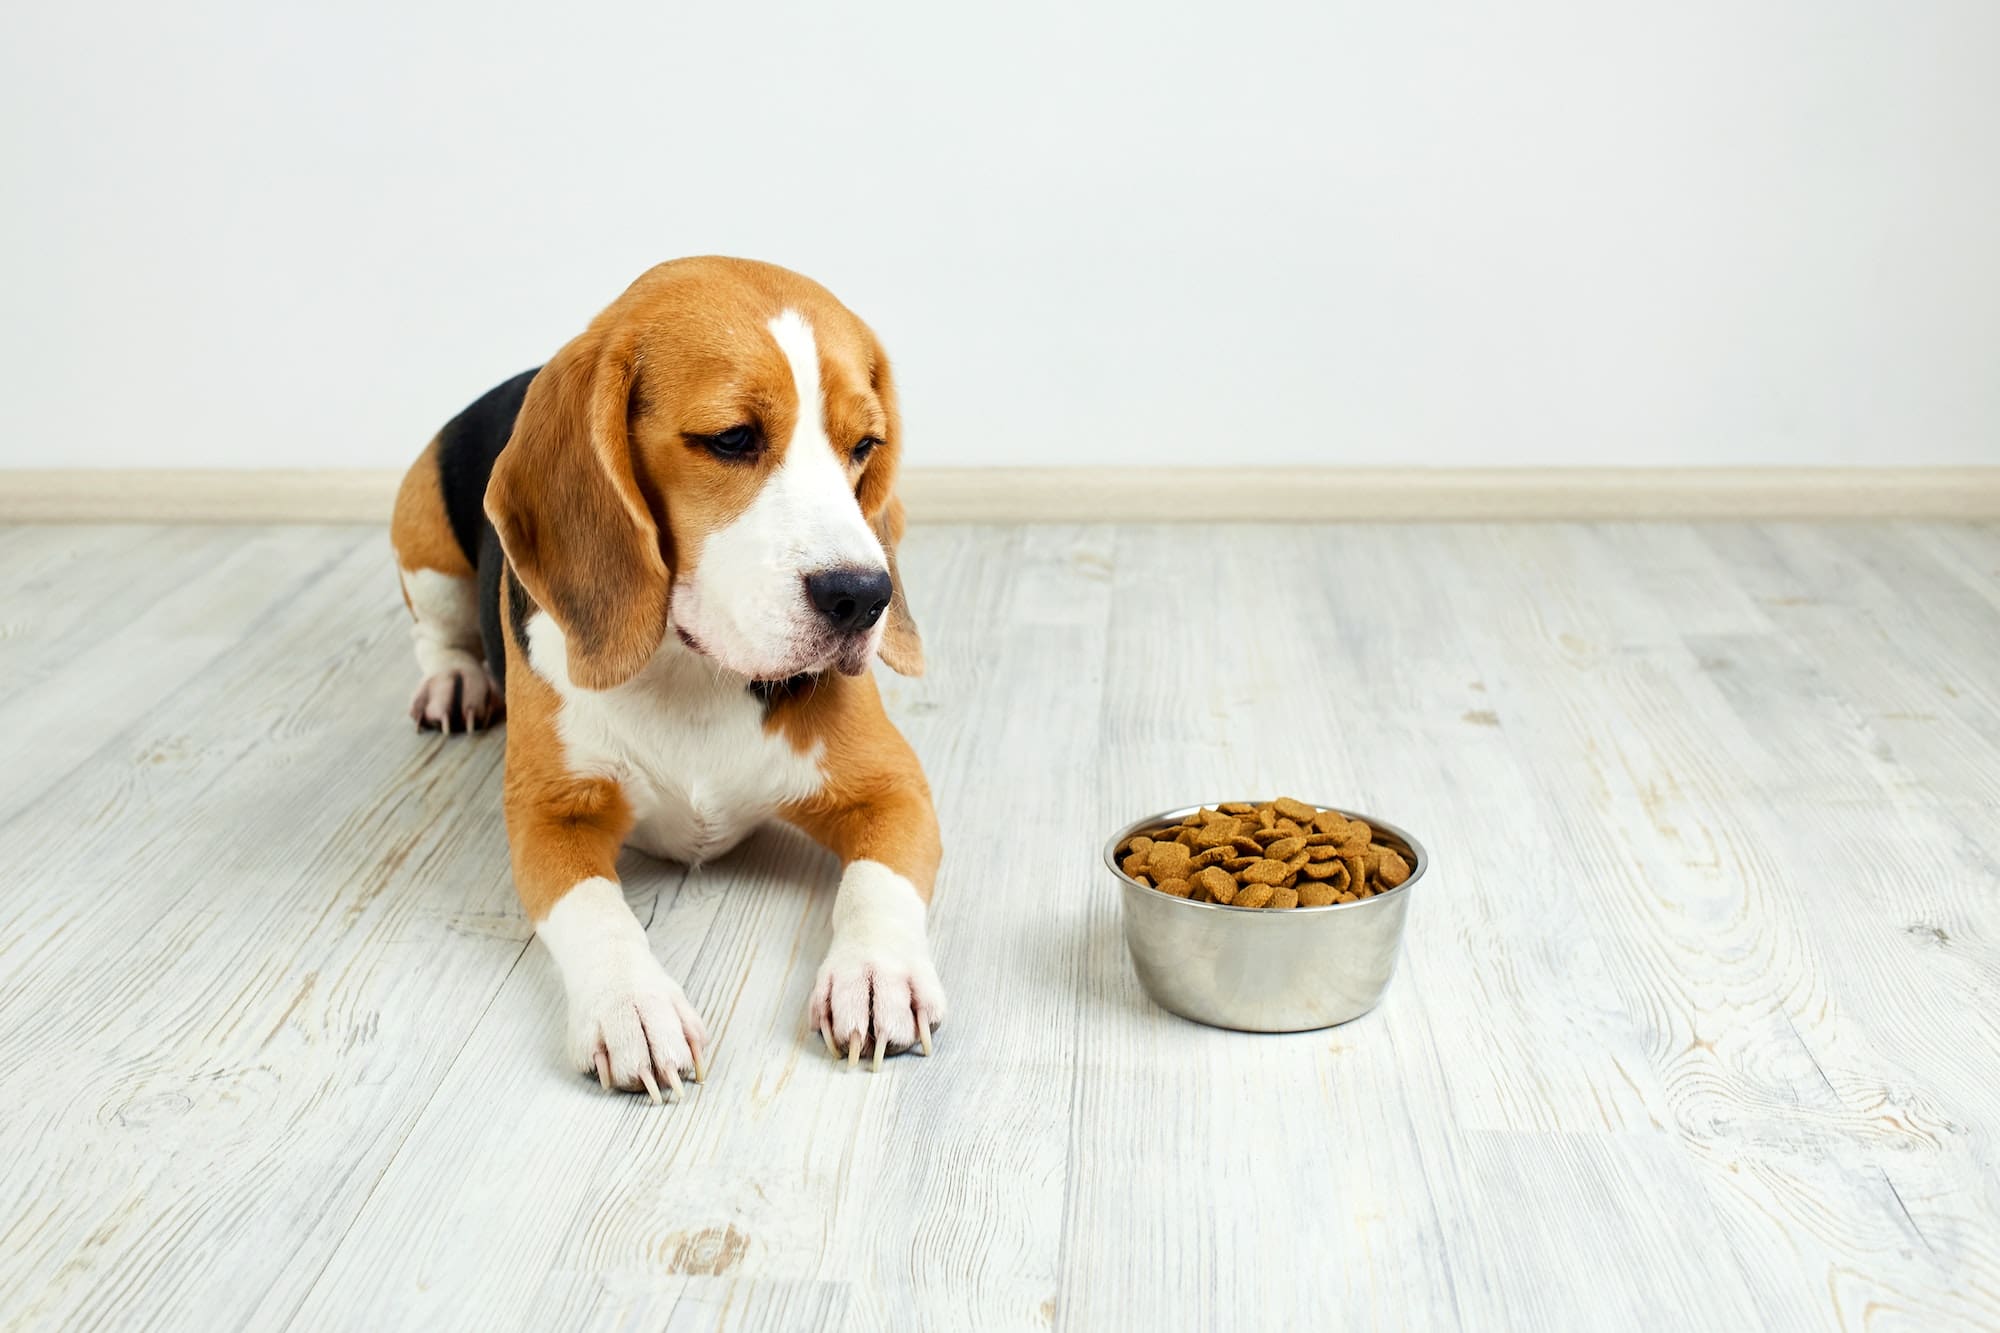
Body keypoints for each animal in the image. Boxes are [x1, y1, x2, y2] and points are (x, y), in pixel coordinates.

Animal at [400, 254, 952, 1096]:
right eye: (731, 438)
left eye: (865, 444)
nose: (863, 596)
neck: (694, 666)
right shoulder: (549, 814)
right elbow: (595, 911)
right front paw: (632, 1007)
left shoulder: (894, 786)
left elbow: (877, 881)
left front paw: (876, 973)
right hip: (420, 529)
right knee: (435, 631)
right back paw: (454, 682)